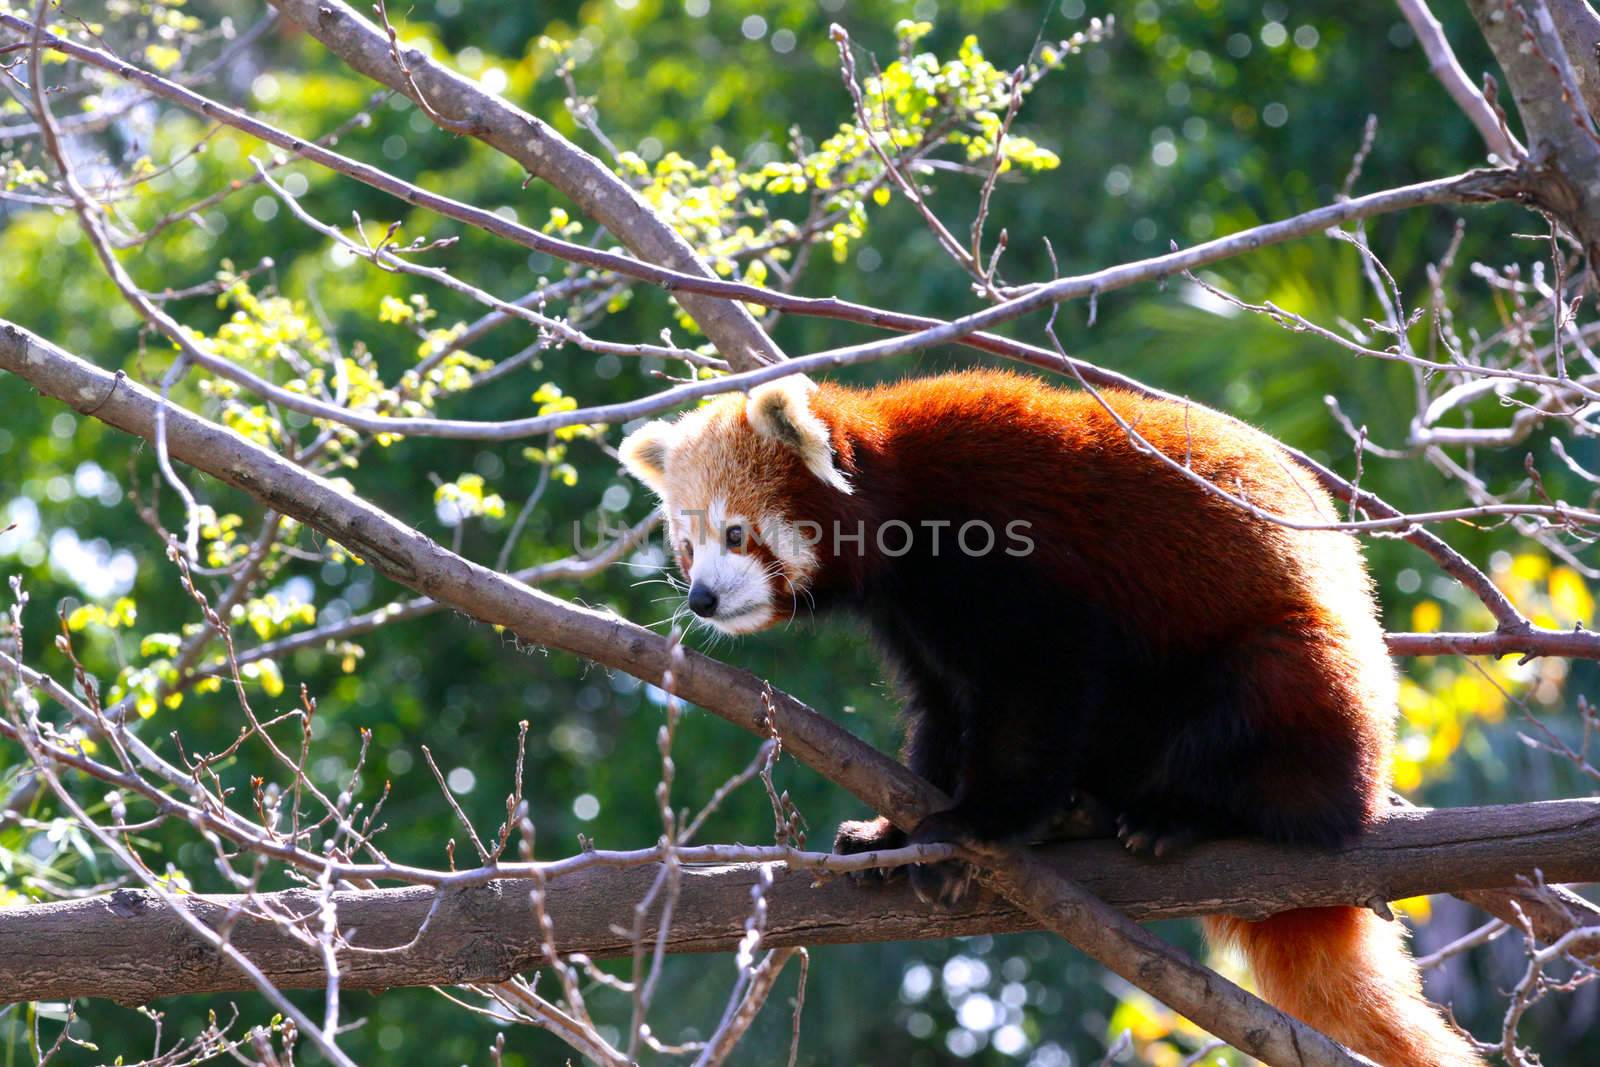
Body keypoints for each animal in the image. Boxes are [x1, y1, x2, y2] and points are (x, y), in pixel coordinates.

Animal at [617, 369, 1478, 1067]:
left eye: (736, 532)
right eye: (685, 543)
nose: (701, 597)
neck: (901, 493)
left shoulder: (1012, 551)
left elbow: (1037, 691)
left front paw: (973, 825)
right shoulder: (914, 620)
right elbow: (943, 715)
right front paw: (893, 832)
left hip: (1308, 686)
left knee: (1269, 699)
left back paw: (1176, 810)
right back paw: (1084, 812)